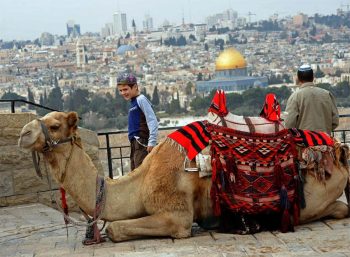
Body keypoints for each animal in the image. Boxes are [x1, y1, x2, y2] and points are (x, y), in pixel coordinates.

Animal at [17, 111, 348, 241]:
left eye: (55, 125)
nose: (22, 133)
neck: (140, 182)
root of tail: (339, 152)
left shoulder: (175, 215)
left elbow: (115, 229)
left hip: (312, 195)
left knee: (338, 207)